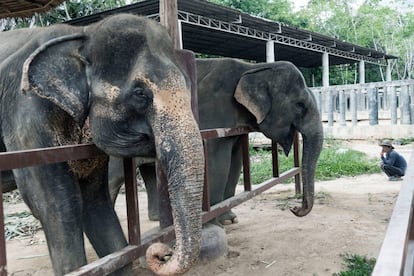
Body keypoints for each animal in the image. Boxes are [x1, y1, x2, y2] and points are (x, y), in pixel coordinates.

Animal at [0, 15, 204, 276]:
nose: (161, 252)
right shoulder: (26, 119)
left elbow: (94, 199)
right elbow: (56, 204)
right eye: (140, 93)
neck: (84, 34)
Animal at [110, 57, 324, 225]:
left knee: (148, 172)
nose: (295, 208)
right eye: (300, 105)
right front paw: (215, 223)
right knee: (114, 177)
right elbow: (217, 162)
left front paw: (229, 220)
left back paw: (158, 221)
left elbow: (235, 162)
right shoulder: (214, 111)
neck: (253, 68)